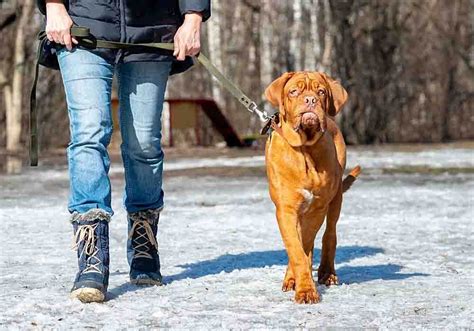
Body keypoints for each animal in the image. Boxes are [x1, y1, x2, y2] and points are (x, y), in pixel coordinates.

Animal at [264, 71, 362, 304]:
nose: (310, 100)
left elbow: (305, 246)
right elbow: (296, 249)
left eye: (321, 92)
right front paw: (302, 286)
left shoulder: (317, 208)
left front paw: (304, 286)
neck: (305, 151)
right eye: (293, 91)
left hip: (335, 199)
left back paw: (327, 272)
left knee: (329, 234)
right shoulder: (286, 210)